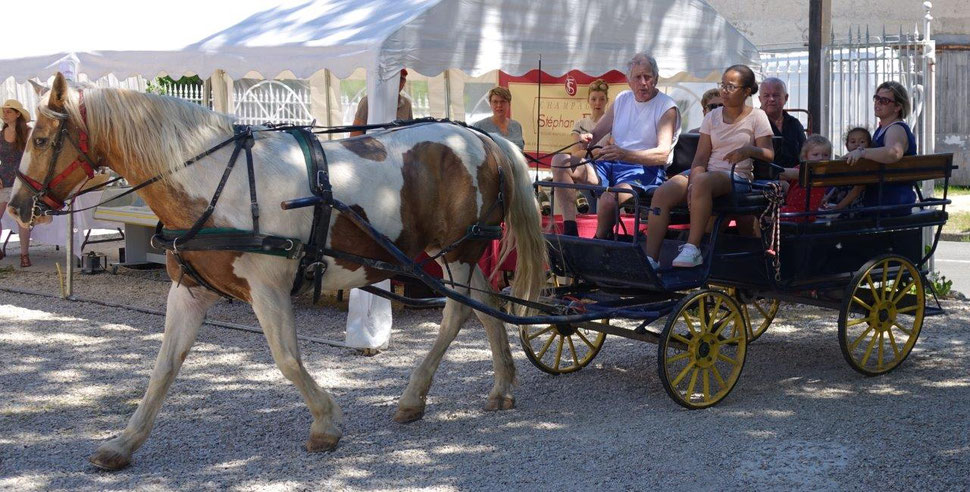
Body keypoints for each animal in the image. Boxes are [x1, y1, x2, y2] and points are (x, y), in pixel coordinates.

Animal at [9, 72, 544, 468]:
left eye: (43, 139)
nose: (16, 206)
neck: (216, 179)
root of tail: (480, 136)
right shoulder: (189, 291)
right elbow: (163, 368)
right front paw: (124, 442)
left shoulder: (268, 289)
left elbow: (286, 358)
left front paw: (325, 423)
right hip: (457, 254)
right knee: (488, 305)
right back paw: (501, 387)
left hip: (455, 252)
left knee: (458, 314)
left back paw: (415, 395)